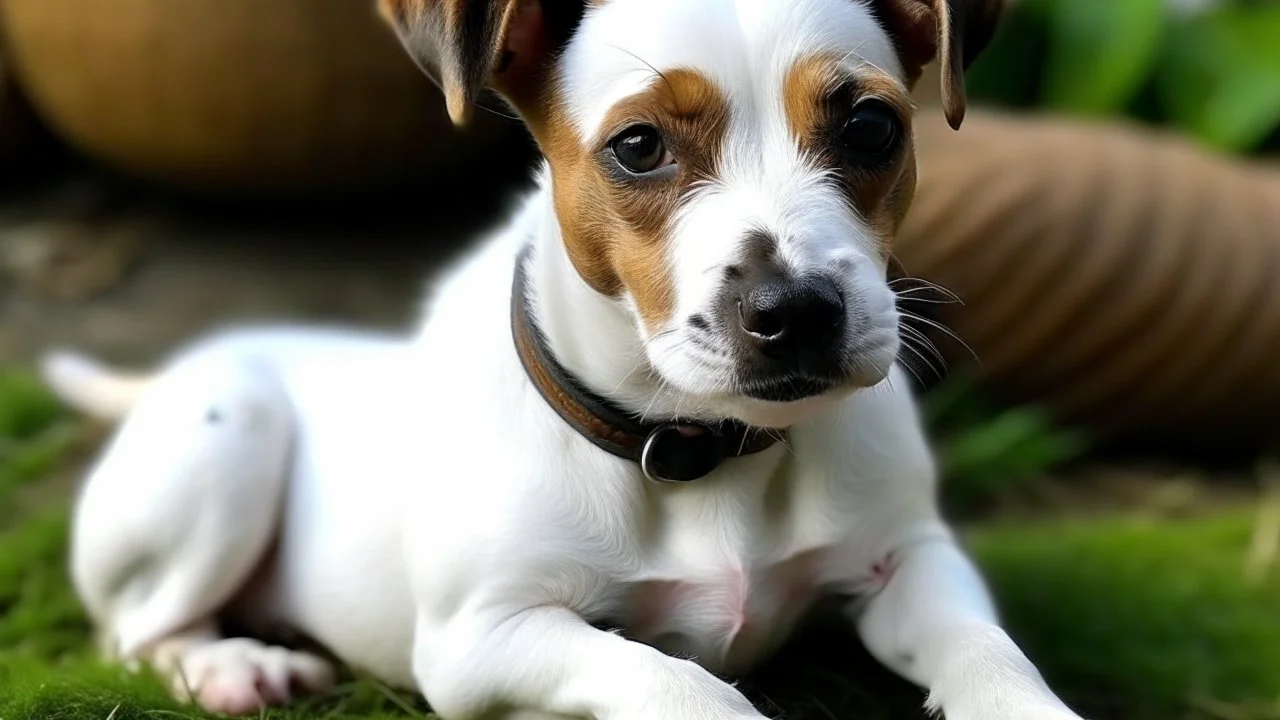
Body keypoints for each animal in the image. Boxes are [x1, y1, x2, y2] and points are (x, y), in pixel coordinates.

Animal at [37, 1, 1080, 717]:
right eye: (639, 146)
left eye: (870, 126)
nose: (796, 312)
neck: (705, 450)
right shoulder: (483, 638)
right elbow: (676, 681)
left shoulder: (913, 559)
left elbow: (990, 652)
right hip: (230, 433)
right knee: (134, 629)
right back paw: (231, 663)